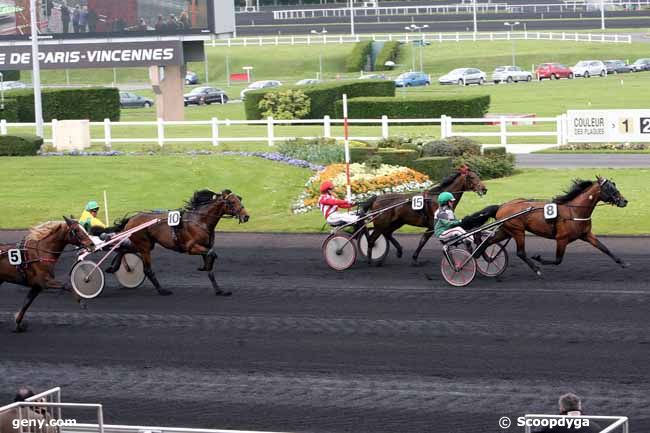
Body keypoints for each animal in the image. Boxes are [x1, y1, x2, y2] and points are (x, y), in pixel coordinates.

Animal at [111, 190, 248, 296]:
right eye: (232, 202)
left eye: (240, 199)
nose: (246, 216)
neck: (200, 220)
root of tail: (131, 219)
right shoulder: (191, 248)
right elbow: (213, 254)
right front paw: (204, 267)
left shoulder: (205, 247)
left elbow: (211, 267)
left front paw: (219, 290)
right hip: (144, 246)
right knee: (147, 269)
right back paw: (162, 290)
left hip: (146, 245)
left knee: (123, 248)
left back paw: (114, 267)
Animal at [478, 176, 624, 276]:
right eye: (610, 188)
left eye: (614, 186)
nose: (624, 201)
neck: (574, 211)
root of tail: (502, 206)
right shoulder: (562, 239)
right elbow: (558, 260)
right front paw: (539, 258)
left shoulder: (586, 234)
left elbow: (604, 248)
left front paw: (622, 262)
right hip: (517, 231)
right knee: (520, 252)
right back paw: (536, 269)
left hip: (506, 230)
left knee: (488, 242)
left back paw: (483, 258)